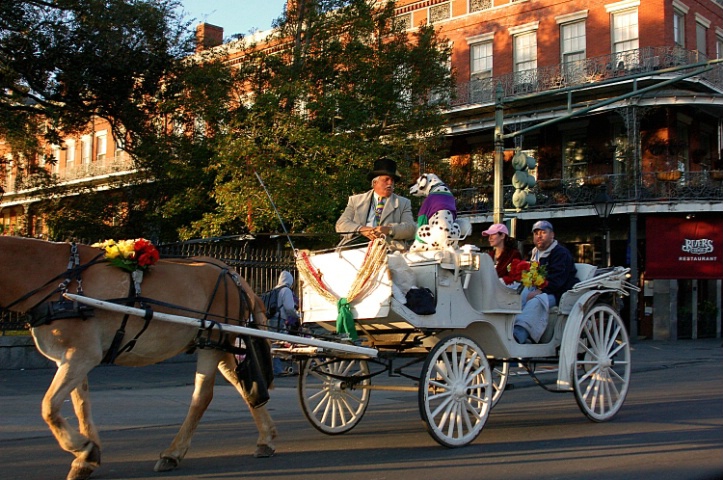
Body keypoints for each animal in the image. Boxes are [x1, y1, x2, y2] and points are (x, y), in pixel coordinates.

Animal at [0, 237, 278, 480]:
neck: (61, 281)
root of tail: (234, 275)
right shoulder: (72, 359)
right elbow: (80, 405)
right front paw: (87, 457)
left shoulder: (80, 356)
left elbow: (49, 407)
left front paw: (83, 449)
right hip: (218, 345)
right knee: (243, 386)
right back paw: (266, 438)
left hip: (213, 343)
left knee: (202, 397)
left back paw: (173, 453)